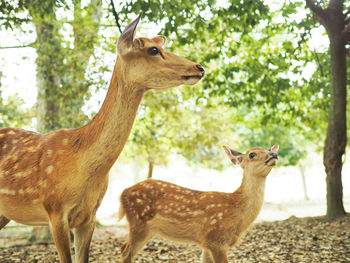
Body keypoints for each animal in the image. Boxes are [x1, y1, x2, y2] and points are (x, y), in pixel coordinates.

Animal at [119, 145, 278, 262]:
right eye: (252, 154)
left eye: (268, 149)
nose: (274, 154)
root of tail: (123, 193)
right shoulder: (216, 238)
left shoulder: (206, 242)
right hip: (139, 222)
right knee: (126, 252)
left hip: (146, 228)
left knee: (124, 248)